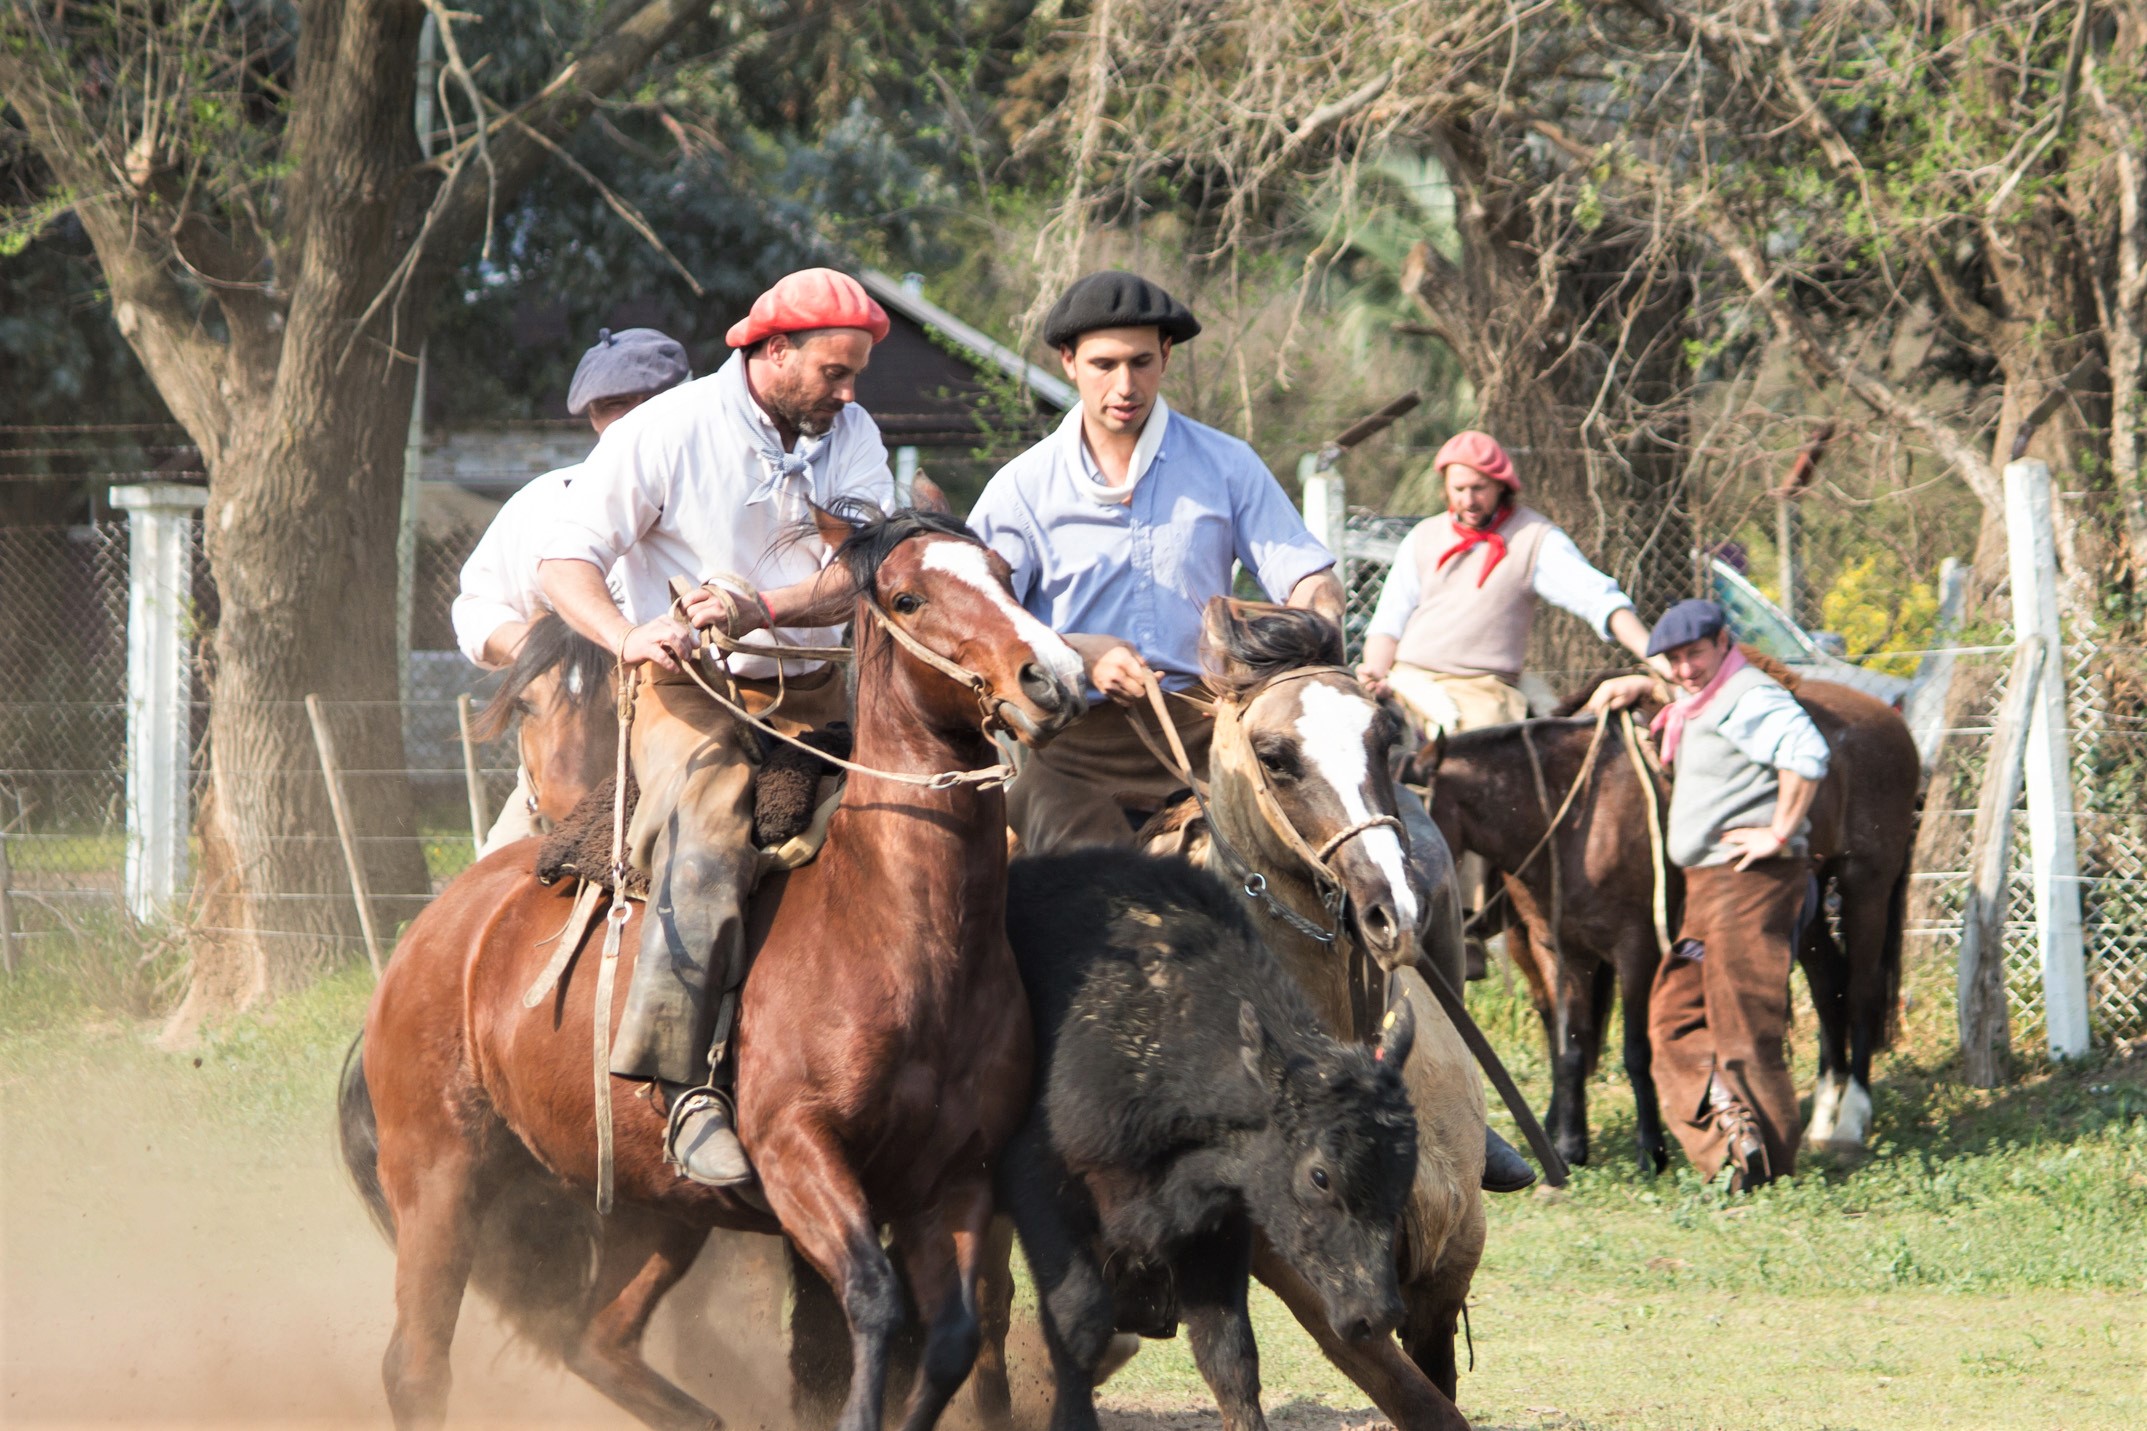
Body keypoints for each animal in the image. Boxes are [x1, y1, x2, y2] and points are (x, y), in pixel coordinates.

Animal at [345, 508, 1099, 1431]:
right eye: (908, 597)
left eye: (1005, 574)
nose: (1052, 678)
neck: (898, 927)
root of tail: (438, 929)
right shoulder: (797, 1152)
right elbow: (872, 1300)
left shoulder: (951, 1179)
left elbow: (951, 1334)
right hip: (440, 1177)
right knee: (418, 1364)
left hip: (650, 1209)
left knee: (594, 1338)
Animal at [1417, 677, 1923, 1184]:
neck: (1575, 815)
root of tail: (1890, 718)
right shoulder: (1557, 948)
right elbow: (1568, 1045)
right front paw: (1569, 1146)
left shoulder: (1636, 947)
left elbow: (1636, 1051)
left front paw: (1651, 1151)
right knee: (1827, 987)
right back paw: (1823, 1117)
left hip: (1866, 883)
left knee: (1860, 991)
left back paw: (1850, 1121)